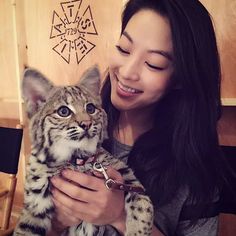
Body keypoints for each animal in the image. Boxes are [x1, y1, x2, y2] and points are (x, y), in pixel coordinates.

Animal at [13, 67, 153, 236]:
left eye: (90, 108)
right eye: (64, 111)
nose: (86, 123)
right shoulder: (35, 206)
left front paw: (137, 231)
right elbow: (24, 230)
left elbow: (143, 202)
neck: (75, 158)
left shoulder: (124, 176)